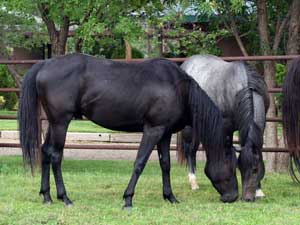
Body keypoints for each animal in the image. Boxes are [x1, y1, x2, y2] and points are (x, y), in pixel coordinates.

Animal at [18, 53, 239, 208]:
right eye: (231, 164)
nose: (233, 197)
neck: (177, 88)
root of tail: (45, 64)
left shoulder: (165, 133)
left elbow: (165, 164)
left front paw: (170, 197)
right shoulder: (153, 130)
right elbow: (139, 162)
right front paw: (128, 199)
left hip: (54, 123)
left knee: (46, 152)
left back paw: (47, 196)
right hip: (61, 123)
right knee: (56, 156)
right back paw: (64, 198)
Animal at [178, 55, 270, 202]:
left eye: (255, 169)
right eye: (240, 168)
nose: (246, 198)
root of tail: (186, 64)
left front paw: (259, 191)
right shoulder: (226, 128)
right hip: (189, 129)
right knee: (189, 152)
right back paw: (193, 182)